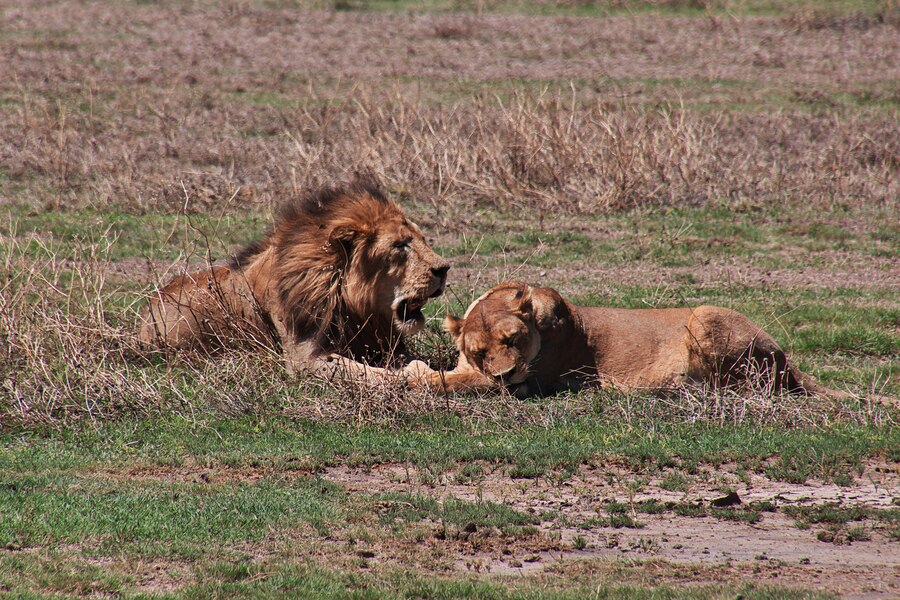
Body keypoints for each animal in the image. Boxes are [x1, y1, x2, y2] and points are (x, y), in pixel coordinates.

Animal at [139, 184, 448, 380]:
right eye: (400, 245)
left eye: (422, 238)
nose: (444, 268)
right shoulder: (303, 358)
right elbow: (366, 372)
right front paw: (414, 375)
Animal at [414, 282, 836, 398]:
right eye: (479, 351)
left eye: (513, 339)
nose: (506, 374)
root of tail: (787, 358)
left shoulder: (526, 382)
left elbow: (442, 382)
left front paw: (406, 374)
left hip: (704, 314)